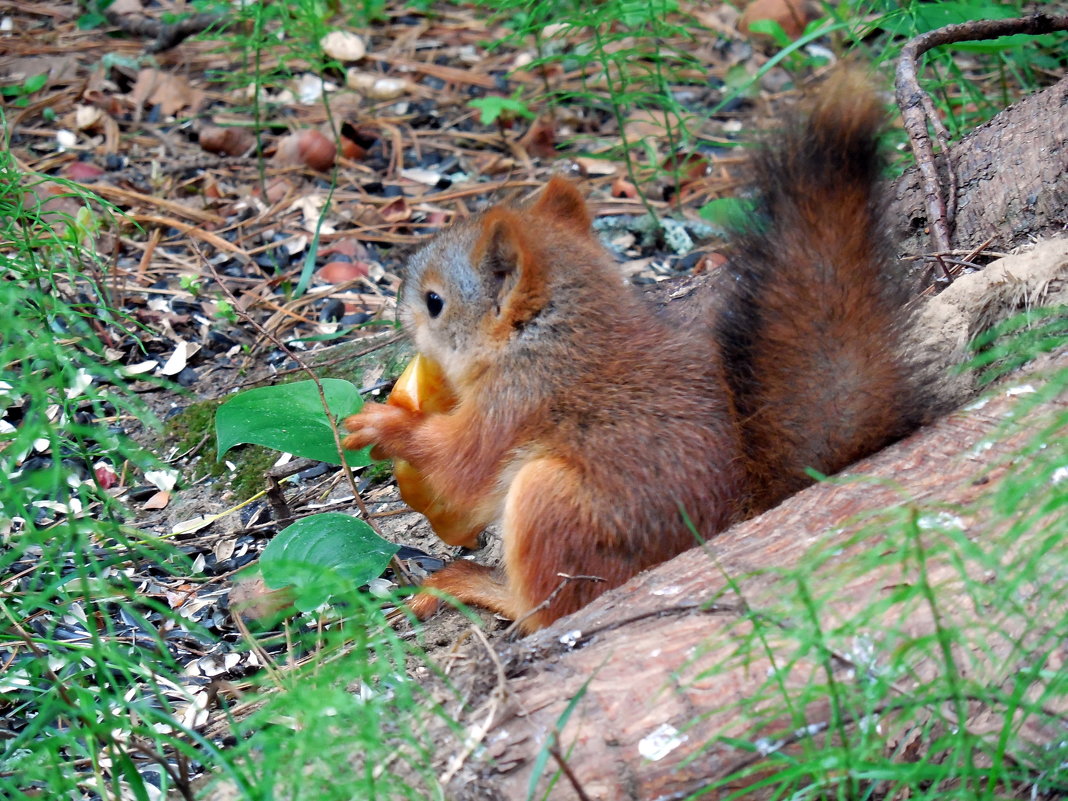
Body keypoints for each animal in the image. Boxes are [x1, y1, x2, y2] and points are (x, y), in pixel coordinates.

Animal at [343, 70, 927, 632]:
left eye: (434, 302)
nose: (399, 310)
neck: (551, 336)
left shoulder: (514, 403)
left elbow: (458, 470)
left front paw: (381, 426)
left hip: (553, 502)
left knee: (550, 612)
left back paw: (474, 586)